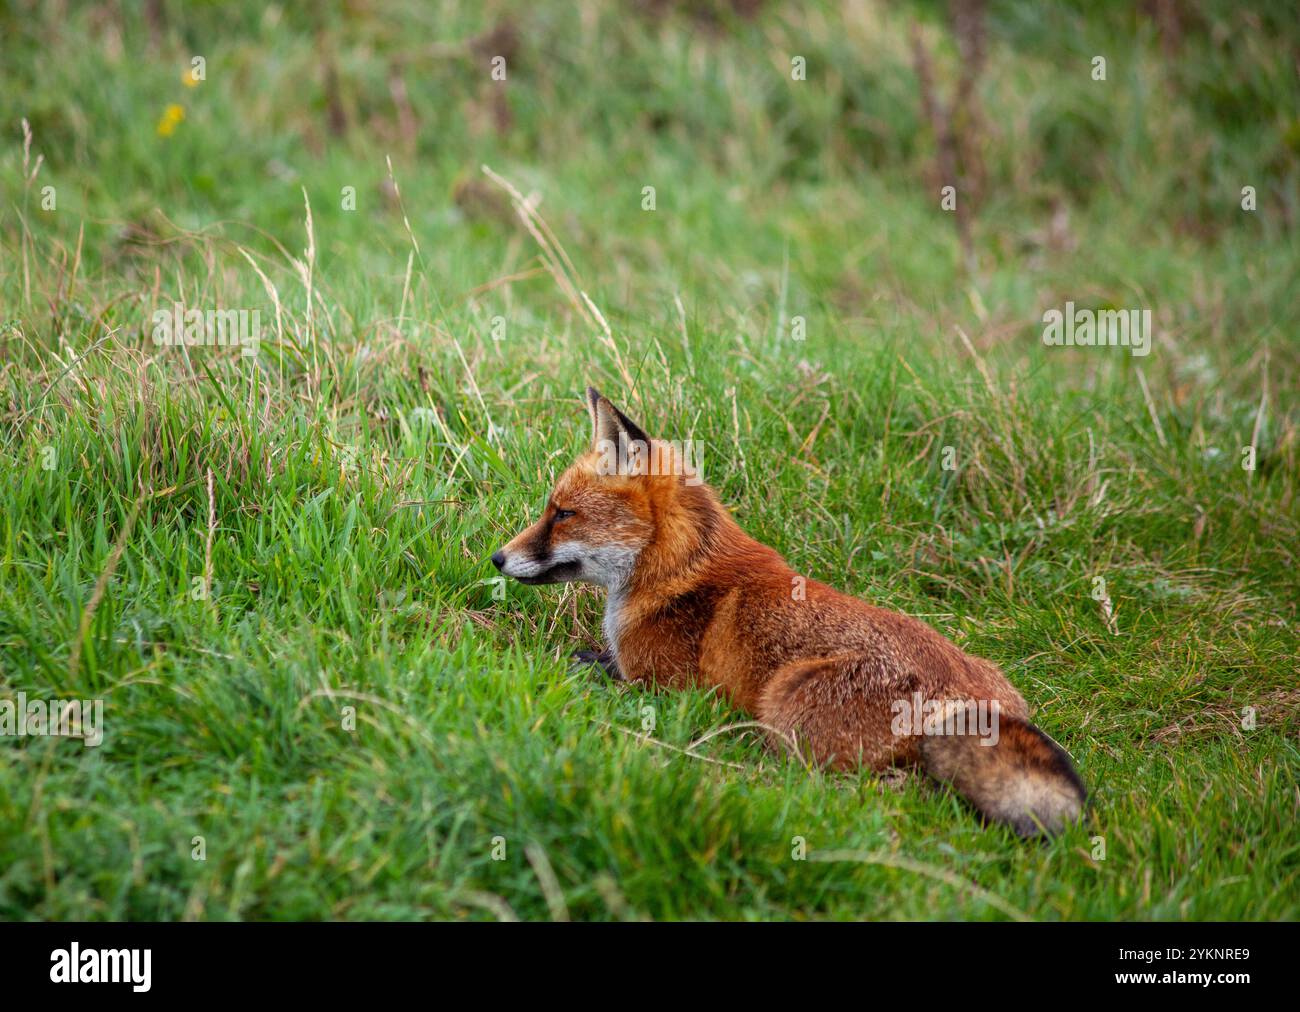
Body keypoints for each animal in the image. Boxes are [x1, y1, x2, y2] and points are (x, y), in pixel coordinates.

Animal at [488, 387, 1086, 837]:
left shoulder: (658, 685)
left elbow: (589, 664)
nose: (497, 557)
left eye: (562, 514)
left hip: (787, 702)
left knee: (885, 787)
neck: (675, 570)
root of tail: (974, 701)